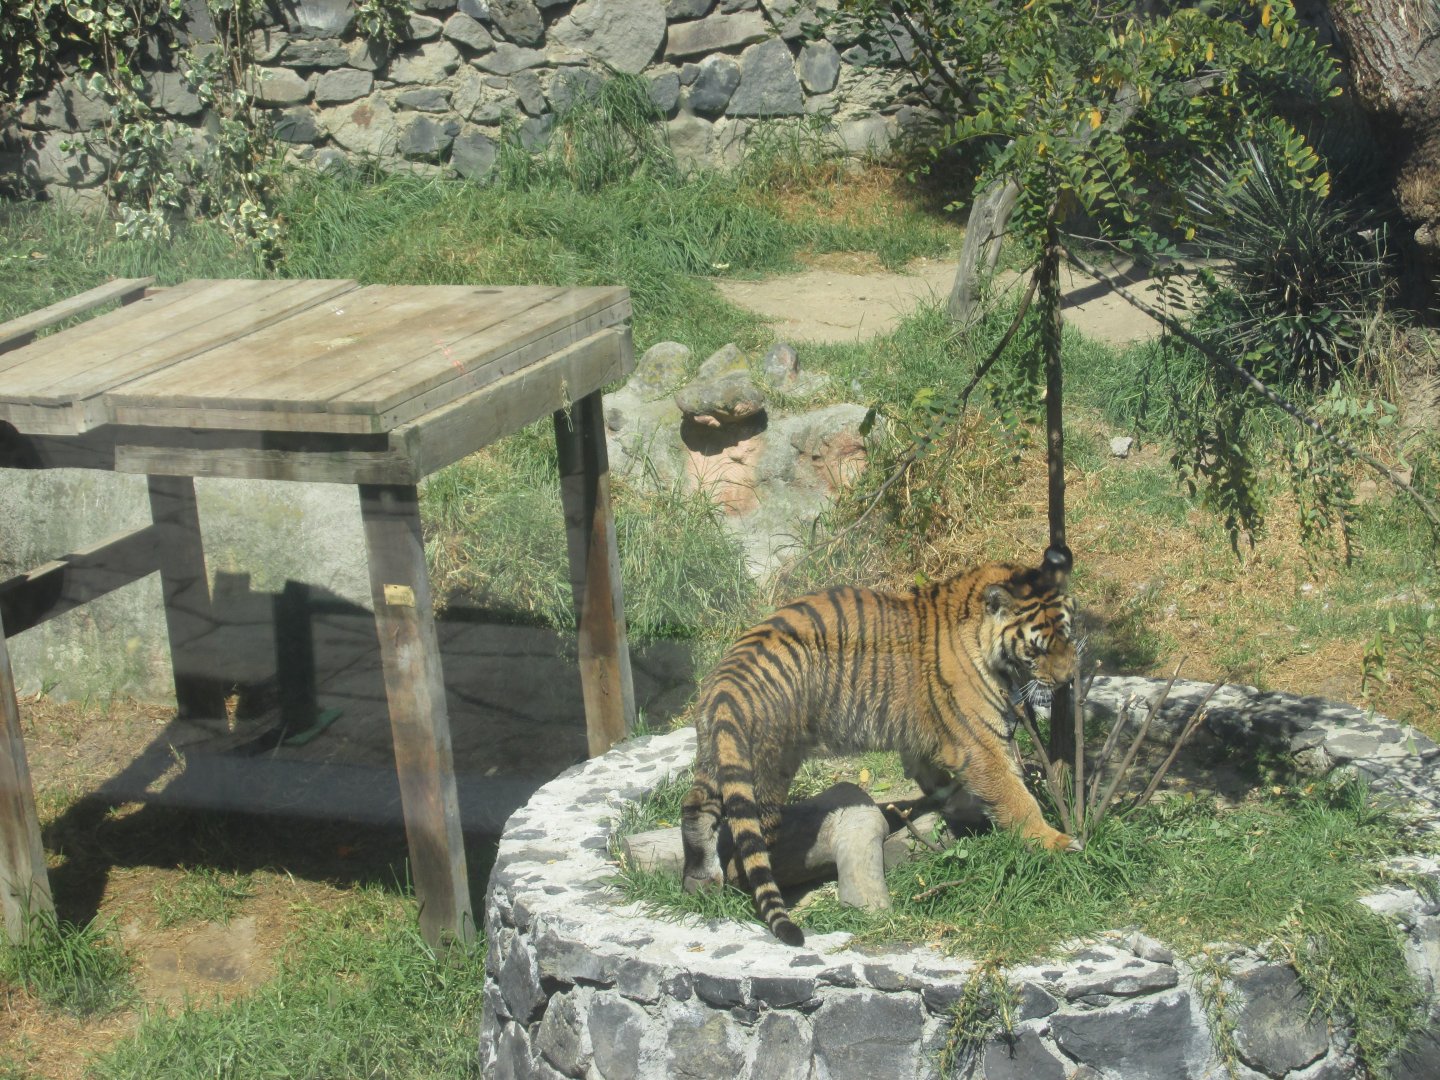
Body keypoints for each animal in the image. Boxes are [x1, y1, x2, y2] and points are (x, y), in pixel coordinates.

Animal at [680, 548, 1080, 946]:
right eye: (1036, 649)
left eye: (1068, 635)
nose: (1068, 678)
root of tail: (726, 682)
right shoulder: (978, 741)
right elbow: (1015, 796)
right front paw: (1056, 842)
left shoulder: (923, 735)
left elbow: (937, 777)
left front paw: (958, 804)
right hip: (767, 772)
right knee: (747, 849)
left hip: (718, 759)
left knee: (695, 809)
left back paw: (699, 881)